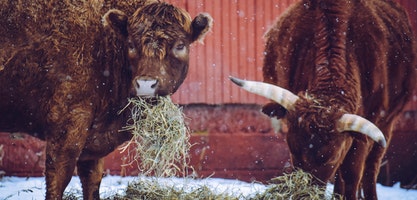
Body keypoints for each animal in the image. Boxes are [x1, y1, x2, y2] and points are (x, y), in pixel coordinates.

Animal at [0, 0, 211, 199]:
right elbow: (58, 180)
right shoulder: (67, 127)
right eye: (131, 44)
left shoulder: (91, 142)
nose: (146, 84)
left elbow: (92, 182)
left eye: (180, 45)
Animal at [229, 0, 414, 199]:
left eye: (331, 158)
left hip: (387, 124)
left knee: (370, 168)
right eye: (292, 150)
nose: (304, 193)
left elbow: (352, 175)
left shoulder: (363, 134)